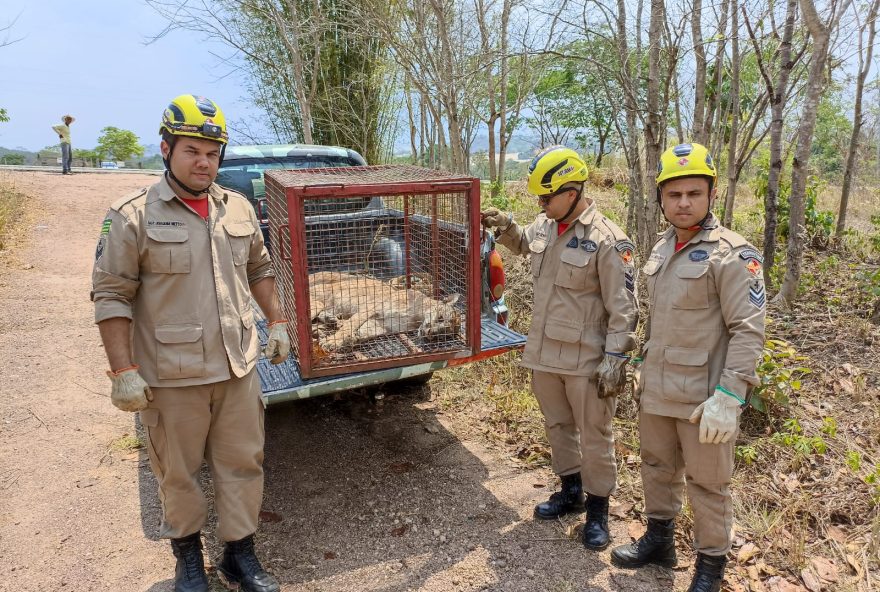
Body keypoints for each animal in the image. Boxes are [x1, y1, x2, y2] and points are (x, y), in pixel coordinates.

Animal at [308, 272, 460, 352]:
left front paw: (352, 339)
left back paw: (331, 320)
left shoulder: (382, 325)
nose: (430, 334)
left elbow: (364, 331)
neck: (417, 318)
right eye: (440, 318)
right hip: (317, 303)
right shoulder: (371, 308)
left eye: (441, 336)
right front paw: (333, 341)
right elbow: (350, 325)